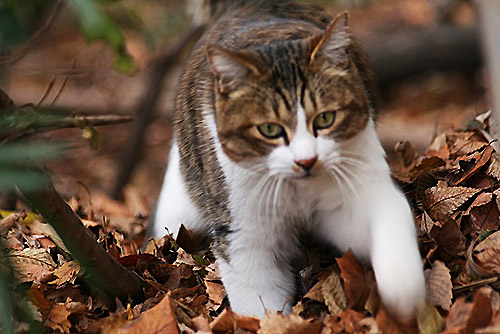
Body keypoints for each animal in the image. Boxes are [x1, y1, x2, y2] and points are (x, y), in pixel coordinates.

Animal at [152, 0, 426, 320]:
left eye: (325, 118)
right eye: (269, 129)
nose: (306, 161)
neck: (299, 190)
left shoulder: (358, 193)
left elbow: (388, 219)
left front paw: (403, 287)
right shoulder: (244, 234)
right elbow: (258, 304)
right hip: (178, 210)